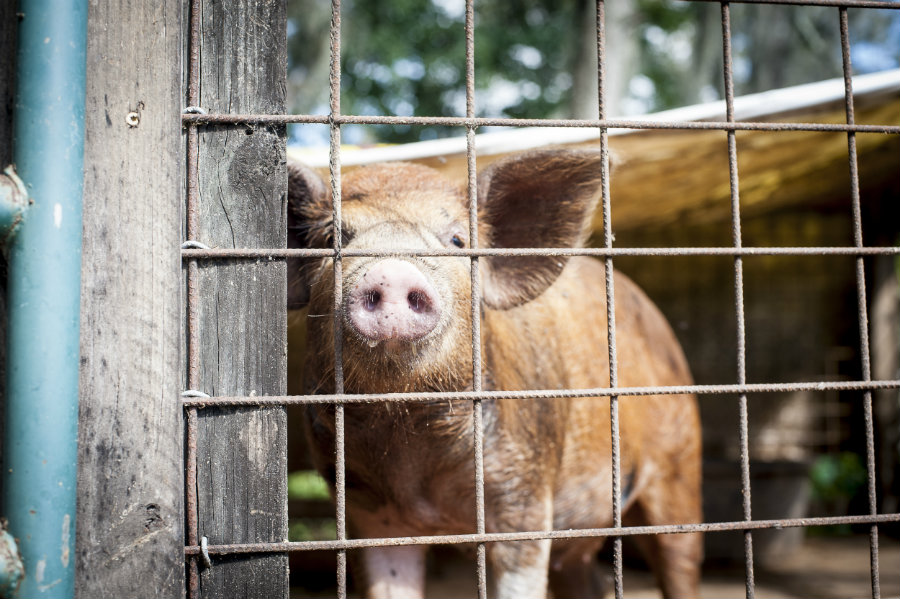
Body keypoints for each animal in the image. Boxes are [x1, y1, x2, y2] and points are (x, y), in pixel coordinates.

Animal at [288, 150, 704, 599]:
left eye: (458, 242)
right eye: (330, 240)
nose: (392, 271)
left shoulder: (524, 490)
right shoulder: (365, 510)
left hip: (680, 462)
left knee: (679, 555)